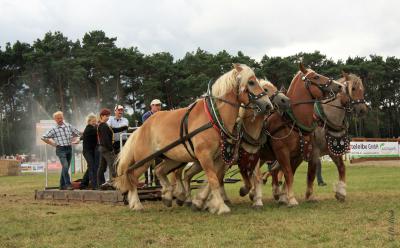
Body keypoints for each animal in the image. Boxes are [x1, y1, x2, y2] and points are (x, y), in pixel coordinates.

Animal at [114, 64, 274, 215]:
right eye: (251, 82)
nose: (268, 105)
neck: (214, 118)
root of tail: (141, 128)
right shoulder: (205, 156)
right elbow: (213, 180)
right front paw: (221, 207)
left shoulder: (220, 158)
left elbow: (215, 179)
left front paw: (204, 202)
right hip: (144, 159)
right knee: (131, 176)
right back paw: (137, 204)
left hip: (173, 158)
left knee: (160, 170)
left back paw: (168, 196)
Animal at [260, 63, 342, 206]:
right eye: (316, 76)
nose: (339, 85)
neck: (292, 121)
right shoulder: (282, 152)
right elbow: (288, 173)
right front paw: (291, 199)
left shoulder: (299, 154)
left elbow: (290, 174)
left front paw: (285, 197)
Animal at [306, 71, 368, 202]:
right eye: (353, 89)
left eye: (362, 89)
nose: (362, 110)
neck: (326, 119)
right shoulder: (314, 151)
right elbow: (311, 172)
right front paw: (309, 195)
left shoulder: (333, 151)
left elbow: (342, 167)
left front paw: (341, 192)